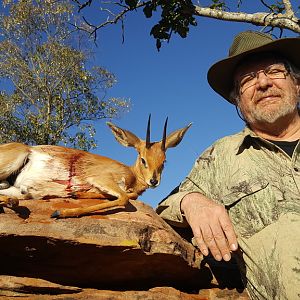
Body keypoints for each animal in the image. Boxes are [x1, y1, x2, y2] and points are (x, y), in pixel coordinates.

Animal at [0, 117, 191, 218]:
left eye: (164, 161)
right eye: (143, 159)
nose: (153, 181)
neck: (132, 175)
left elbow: (129, 195)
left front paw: (77, 194)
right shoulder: (101, 178)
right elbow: (124, 198)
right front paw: (60, 212)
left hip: (22, 191)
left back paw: (12, 202)